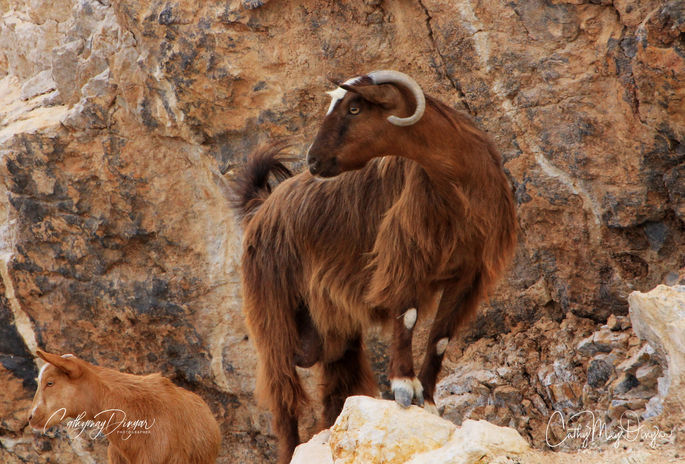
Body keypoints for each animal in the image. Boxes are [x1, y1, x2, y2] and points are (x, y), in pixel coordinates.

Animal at [231, 70, 517, 463]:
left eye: (354, 108)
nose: (314, 161)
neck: (459, 183)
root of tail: (262, 208)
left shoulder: (468, 274)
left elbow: (440, 338)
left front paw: (428, 400)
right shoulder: (405, 258)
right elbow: (408, 318)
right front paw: (403, 387)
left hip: (333, 327)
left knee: (336, 386)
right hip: (272, 312)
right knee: (283, 396)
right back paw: (291, 449)